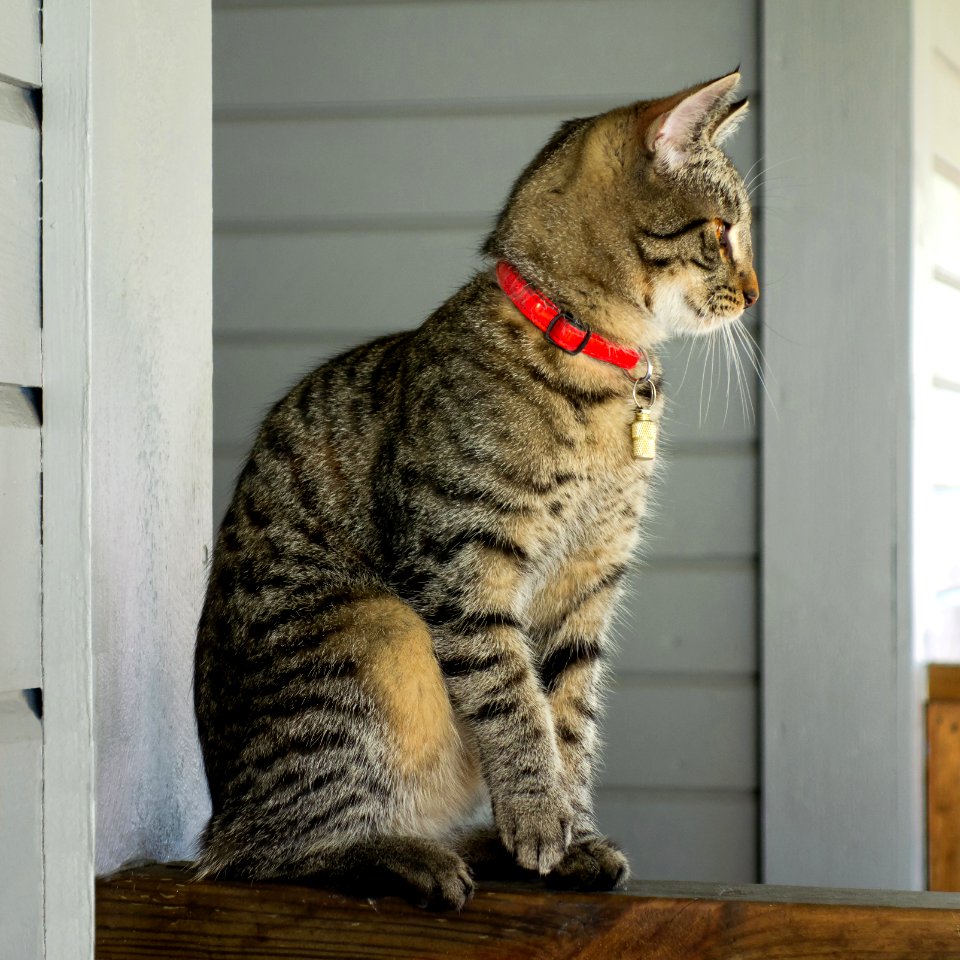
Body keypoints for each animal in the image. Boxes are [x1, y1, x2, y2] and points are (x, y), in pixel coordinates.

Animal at [195, 73, 760, 908]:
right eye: (723, 231)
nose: (755, 293)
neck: (598, 362)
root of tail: (217, 815)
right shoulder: (463, 562)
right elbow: (512, 698)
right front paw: (538, 815)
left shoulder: (587, 584)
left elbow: (568, 717)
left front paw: (568, 836)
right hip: (376, 629)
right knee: (272, 848)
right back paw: (407, 857)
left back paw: (479, 846)